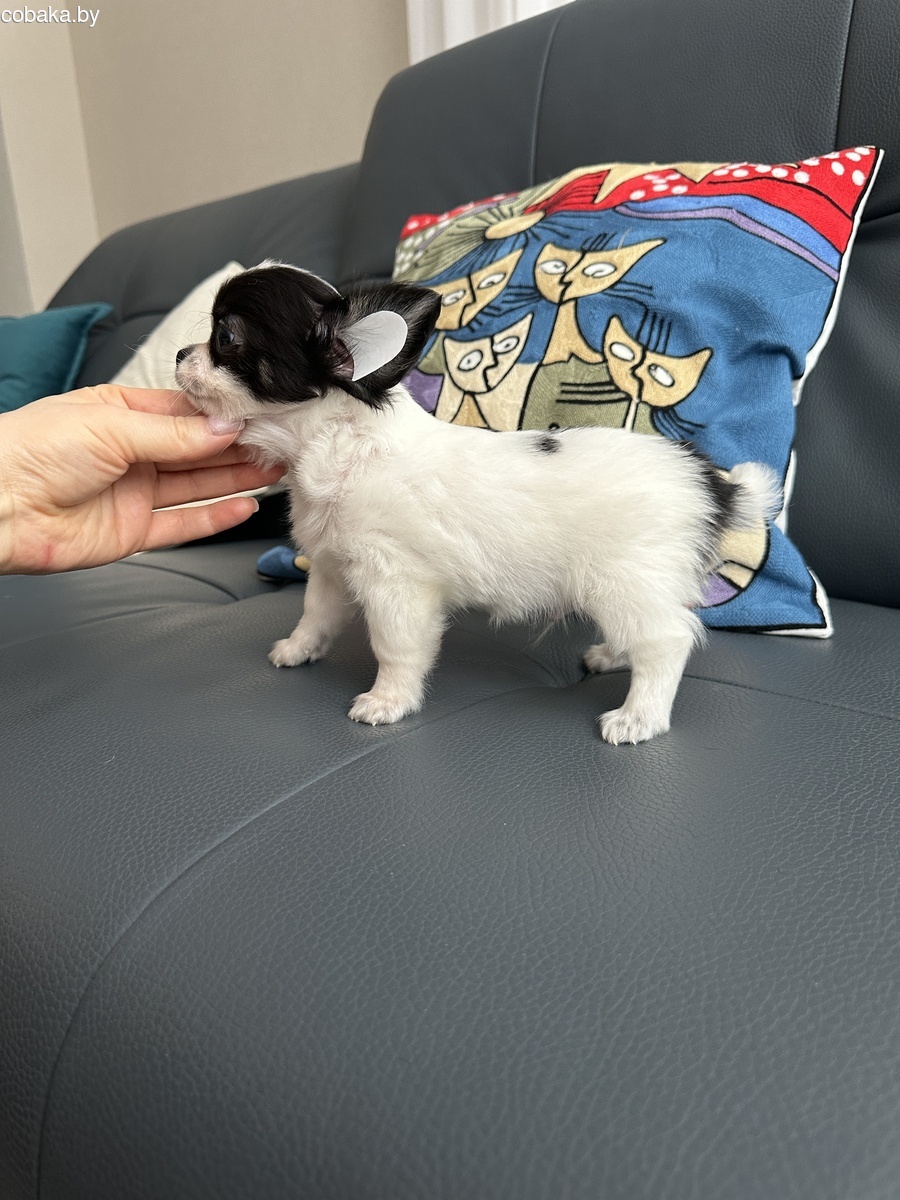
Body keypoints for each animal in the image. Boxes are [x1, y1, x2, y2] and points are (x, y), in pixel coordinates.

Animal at [175, 262, 779, 744]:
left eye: (225, 336)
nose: (180, 352)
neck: (335, 447)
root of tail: (709, 482)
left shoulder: (396, 583)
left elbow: (395, 648)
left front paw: (388, 702)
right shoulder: (330, 565)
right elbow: (315, 615)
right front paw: (298, 650)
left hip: (624, 581)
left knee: (667, 641)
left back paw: (639, 718)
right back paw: (611, 657)